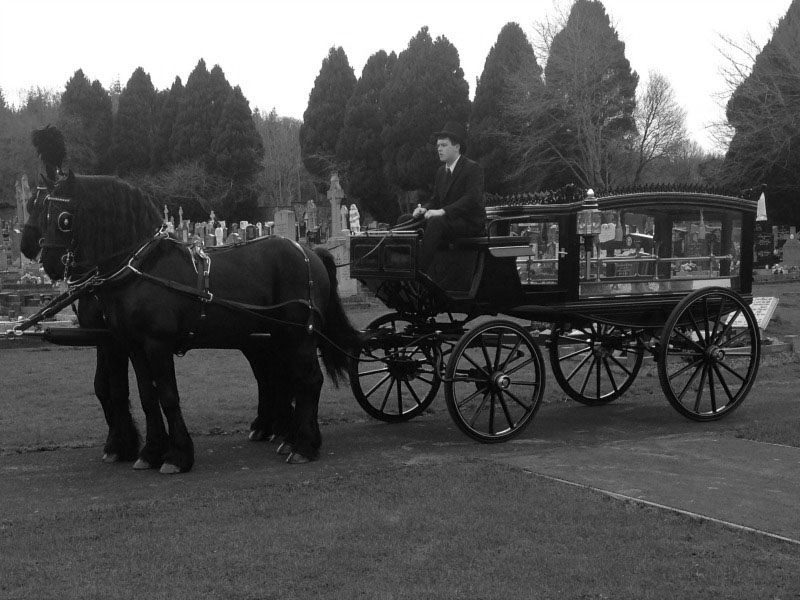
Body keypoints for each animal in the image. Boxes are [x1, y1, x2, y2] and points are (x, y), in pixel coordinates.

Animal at [35, 170, 360, 474]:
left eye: (64, 218)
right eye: (43, 213)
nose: (49, 264)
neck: (140, 266)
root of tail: (309, 251)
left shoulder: (156, 344)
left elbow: (167, 396)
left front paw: (177, 455)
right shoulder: (134, 347)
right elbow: (147, 397)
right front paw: (150, 452)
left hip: (298, 336)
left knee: (309, 379)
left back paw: (304, 445)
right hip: (278, 336)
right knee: (291, 379)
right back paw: (293, 439)